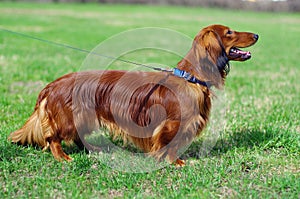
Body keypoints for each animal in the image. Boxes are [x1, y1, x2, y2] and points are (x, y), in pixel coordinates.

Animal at [8, 24, 258, 166]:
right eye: (229, 32)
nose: (256, 34)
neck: (191, 78)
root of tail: (50, 86)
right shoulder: (172, 124)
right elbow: (169, 146)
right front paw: (175, 162)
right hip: (68, 119)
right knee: (53, 138)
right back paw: (62, 157)